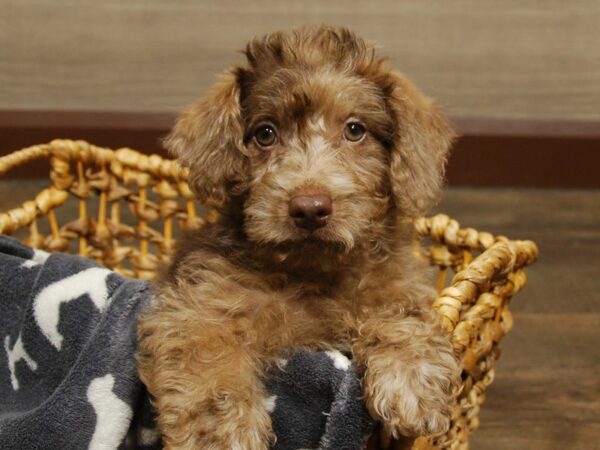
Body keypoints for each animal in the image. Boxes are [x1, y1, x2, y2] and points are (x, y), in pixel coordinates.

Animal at [138, 25, 462, 450]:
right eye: (265, 134)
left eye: (355, 130)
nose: (310, 208)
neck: (311, 272)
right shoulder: (198, 307)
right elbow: (209, 363)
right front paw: (222, 435)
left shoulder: (395, 280)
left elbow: (402, 310)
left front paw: (411, 382)